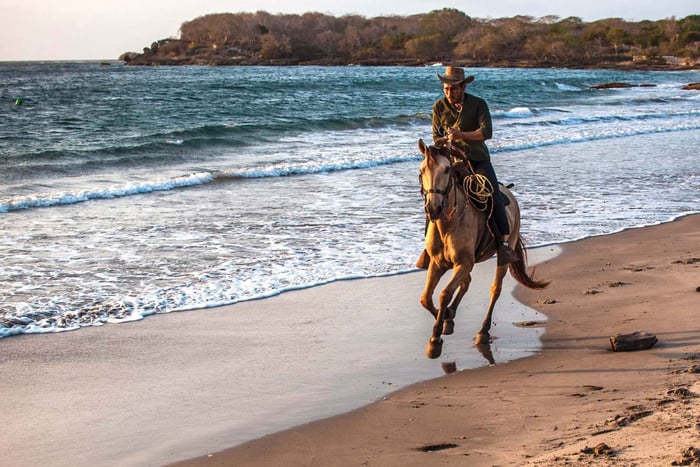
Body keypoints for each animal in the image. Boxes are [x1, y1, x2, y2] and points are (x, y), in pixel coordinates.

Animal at [417, 139, 549, 359]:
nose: (433, 208)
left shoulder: (463, 263)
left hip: (504, 252)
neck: (448, 222)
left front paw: (435, 340)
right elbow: (426, 298)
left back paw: (483, 332)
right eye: (421, 171)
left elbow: (444, 294)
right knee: (466, 283)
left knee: (495, 290)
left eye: (446, 169)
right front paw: (445, 321)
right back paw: (451, 317)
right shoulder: (438, 263)